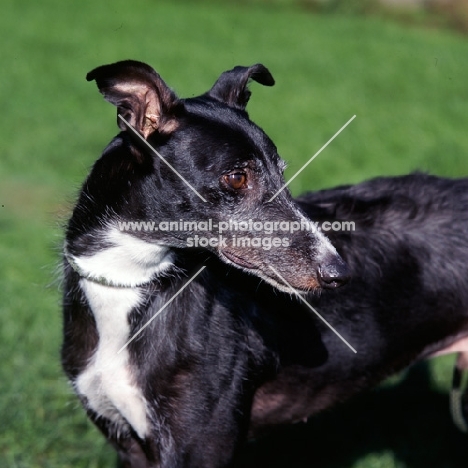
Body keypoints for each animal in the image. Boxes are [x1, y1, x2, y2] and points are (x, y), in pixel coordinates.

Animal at [60, 60, 348, 466]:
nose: (338, 272)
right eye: (237, 177)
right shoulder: (129, 444)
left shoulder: (199, 448)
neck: (134, 281)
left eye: (282, 171)